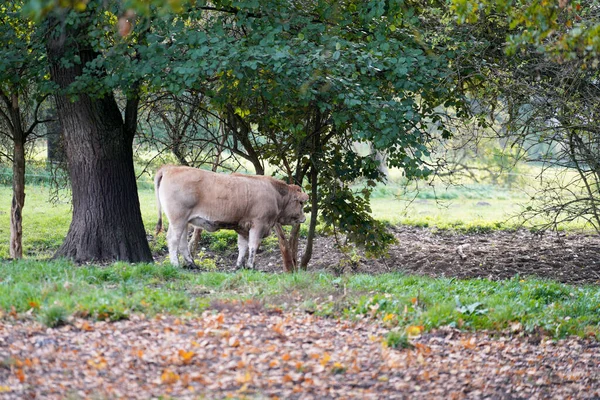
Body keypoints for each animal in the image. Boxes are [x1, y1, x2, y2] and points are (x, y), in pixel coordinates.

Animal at [155, 164, 310, 270]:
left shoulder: (243, 227)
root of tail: (170, 168)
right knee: (173, 240)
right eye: (301, 203)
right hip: (178, 219)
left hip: (185, 222)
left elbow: (243, 247)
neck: (275, 194)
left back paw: (191, 264)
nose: (303, 218)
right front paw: (251, 266)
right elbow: (253, 246)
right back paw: (175, 264)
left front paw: (239, 266)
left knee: (182, 243)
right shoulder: (258, 224)